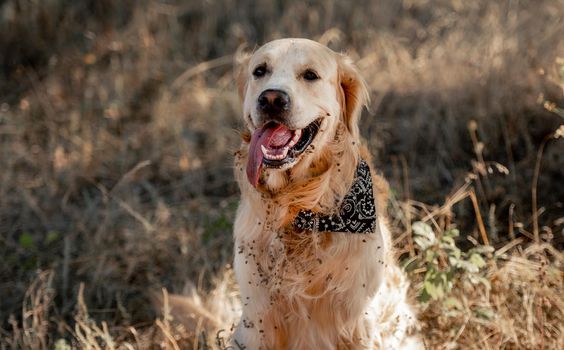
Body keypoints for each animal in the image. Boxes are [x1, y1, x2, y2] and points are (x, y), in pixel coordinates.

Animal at [230, 37, 424, 348]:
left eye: (310, 75)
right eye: (260, 71)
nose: (271, 99)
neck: (297, 205)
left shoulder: (359, 321)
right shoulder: (257, 319)